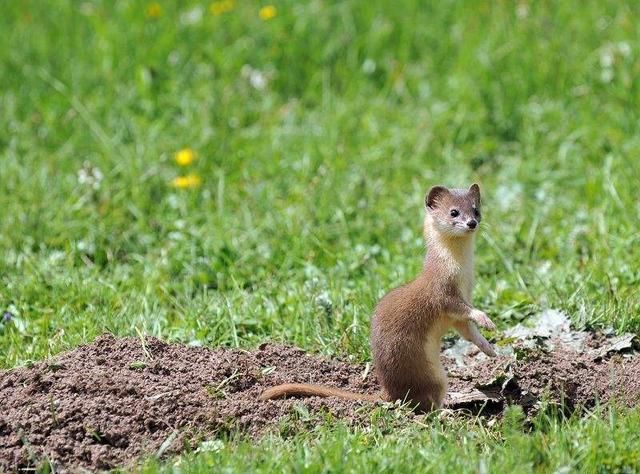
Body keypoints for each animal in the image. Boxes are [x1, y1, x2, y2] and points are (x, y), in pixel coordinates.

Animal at [258, 182, 498, 412]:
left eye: (476, 210)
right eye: (453, 212)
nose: (471, 223)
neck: (463, 274)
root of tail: (387, 390)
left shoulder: (460, 308)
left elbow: (468, 332)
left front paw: (490, 349)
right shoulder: (443, 293)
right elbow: (463, 309)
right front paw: (486, 319)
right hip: (433, 375)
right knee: (423, 404)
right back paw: (449, 409)